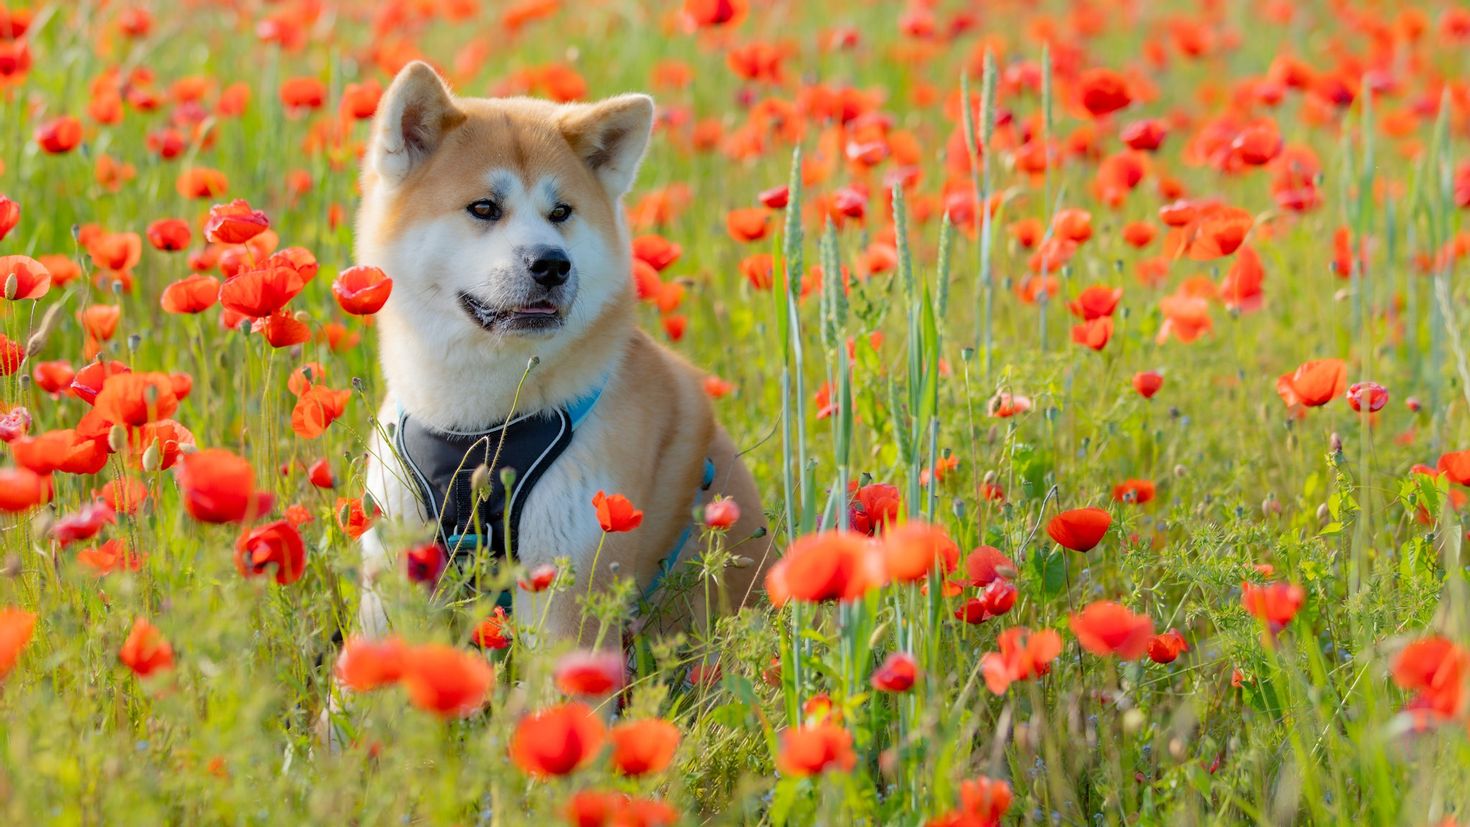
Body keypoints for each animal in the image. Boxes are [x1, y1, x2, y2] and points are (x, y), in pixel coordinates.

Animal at [351, 64, 776, 646]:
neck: (479, 428)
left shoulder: (568, 583)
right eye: (484, 208)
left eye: (561, 213)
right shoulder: (394, 578)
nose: (551, 263)